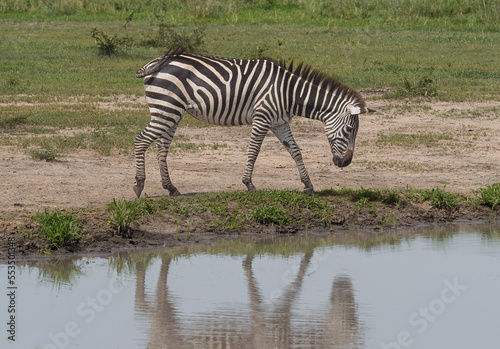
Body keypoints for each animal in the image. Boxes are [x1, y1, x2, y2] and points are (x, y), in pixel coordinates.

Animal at [134, 47, 376, 197]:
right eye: (349, 129)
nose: (346, 163)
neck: (290, 92)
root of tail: (155, 62)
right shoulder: (262, 117)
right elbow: (254, 151)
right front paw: (249, 184)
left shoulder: (280, 122)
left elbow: (296, 151)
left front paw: (308, 185)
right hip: (166, 108)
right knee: (140, 140)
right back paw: (138, 185)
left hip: (172, 112)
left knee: (161, 147)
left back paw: (171, 187)